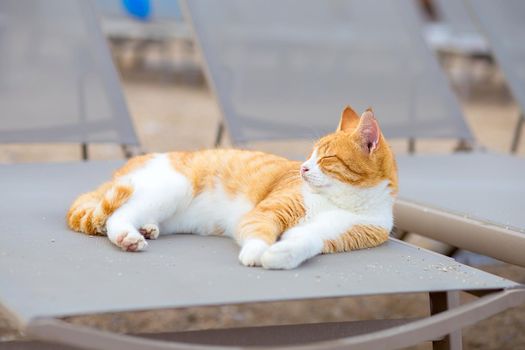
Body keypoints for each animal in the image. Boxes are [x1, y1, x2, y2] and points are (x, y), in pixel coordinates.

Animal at [67, 105, 400, 270]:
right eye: (310, 154)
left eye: (327, 158)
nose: (303, 168)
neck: (343, 201)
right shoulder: (267, 213)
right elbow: (259, 232)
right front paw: (257, 252)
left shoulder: (332, 234)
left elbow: (306, 242)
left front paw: (280, 256)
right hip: (173, 187)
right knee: (116, 216)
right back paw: (128, 237)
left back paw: (147, 229)